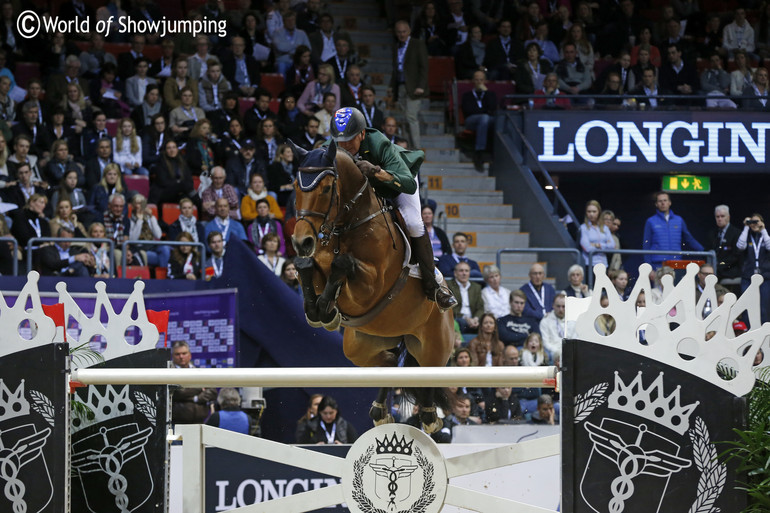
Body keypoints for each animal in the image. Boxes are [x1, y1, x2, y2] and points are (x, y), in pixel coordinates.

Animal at [290, 138, 456, 430]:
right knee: (389, 363)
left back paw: (428, 415)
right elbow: (306, 266)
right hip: (361, 346)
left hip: (435, 345)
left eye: (326, 188)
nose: (302, 242)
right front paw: (319, 311)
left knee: (428, 373)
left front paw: (327, 310)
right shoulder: (317, 266)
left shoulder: (370, 287)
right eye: (296, 187)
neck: (348, 223)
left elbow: (342, 264)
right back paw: (380, 411)